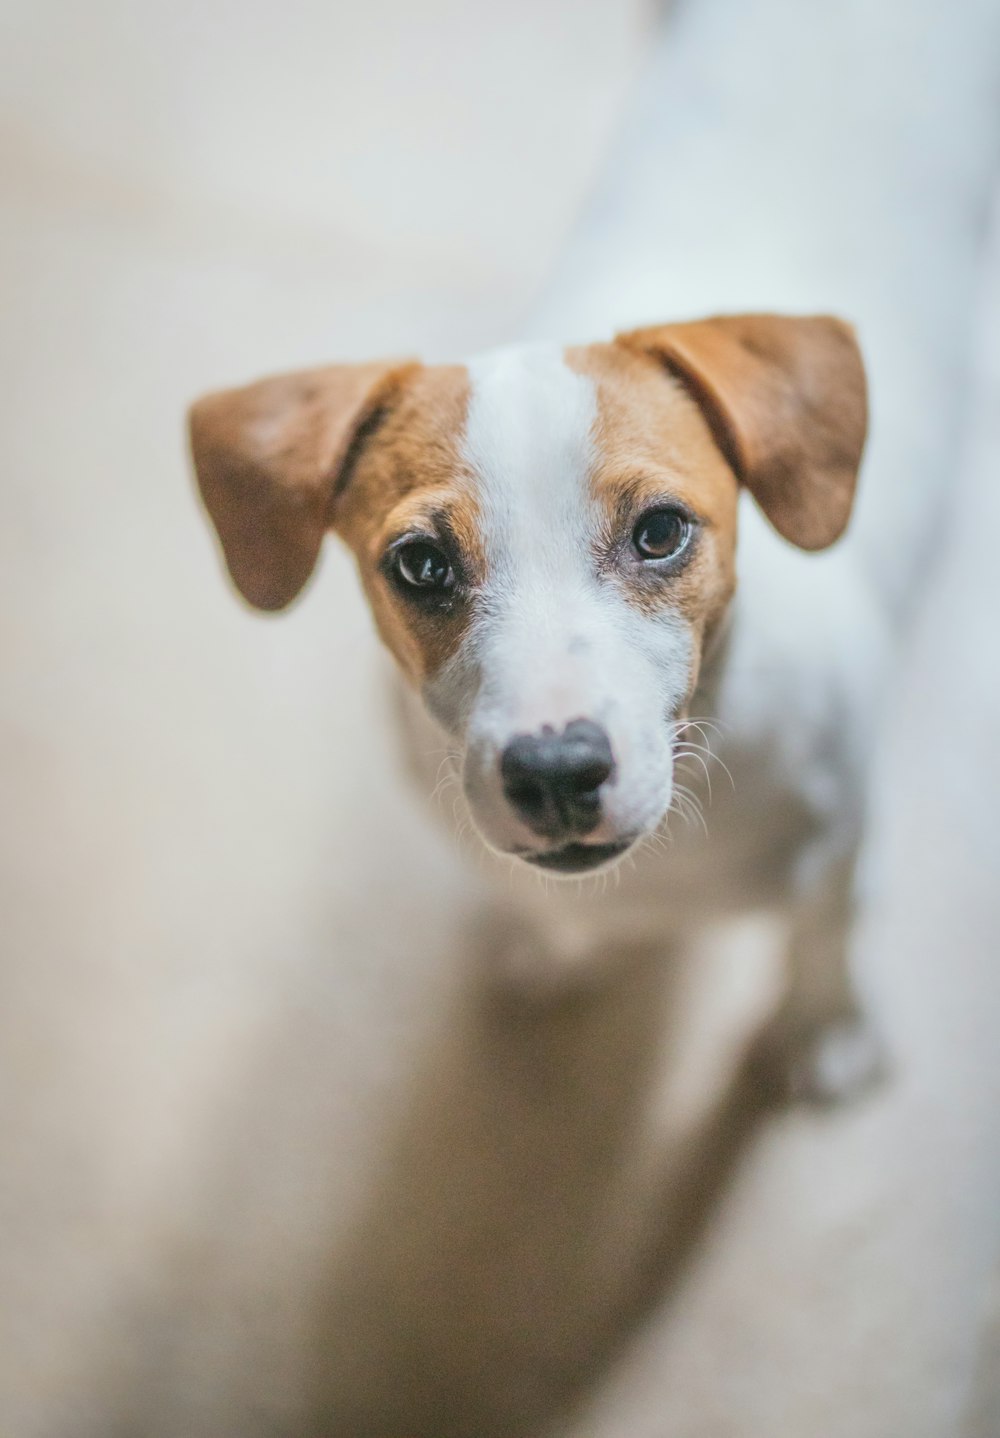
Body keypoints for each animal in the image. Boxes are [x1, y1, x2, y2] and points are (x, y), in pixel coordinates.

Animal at [191, 312, 886, 1098]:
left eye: (660, 531)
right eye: (420, 564)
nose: (556, 773)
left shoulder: (841, 847)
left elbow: (825, 936)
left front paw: (825, 1027)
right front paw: (556, 949)